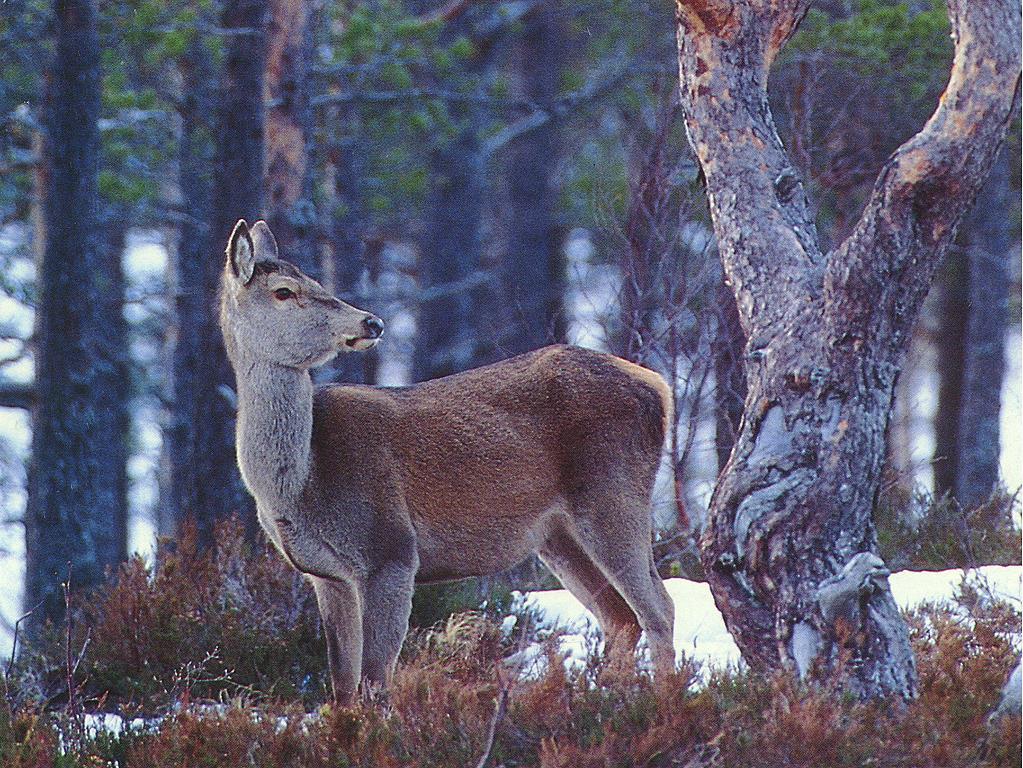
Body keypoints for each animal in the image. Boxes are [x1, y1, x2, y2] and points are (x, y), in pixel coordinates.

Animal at [219, 218, 675, 707]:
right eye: (284, 290)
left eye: (316, 280)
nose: (371, 321)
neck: (303, 480)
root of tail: (659, 385)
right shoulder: (326, 575)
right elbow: (342, 686)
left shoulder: (391, 550)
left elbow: (375, 682)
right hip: (559, 535)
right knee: (620, 618)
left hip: (614, 492)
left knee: (659, 608)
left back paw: (666, 700)